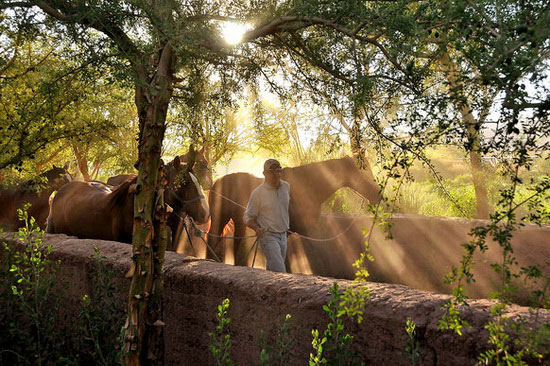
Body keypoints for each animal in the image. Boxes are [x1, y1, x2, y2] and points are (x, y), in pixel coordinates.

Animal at [207, 156, 384, 264]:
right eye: (363, 172)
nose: (379, 195)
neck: (306, 186)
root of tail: (217, 182)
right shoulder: (296, 231)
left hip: (239, 222)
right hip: (220, 218)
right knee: (212, 238)